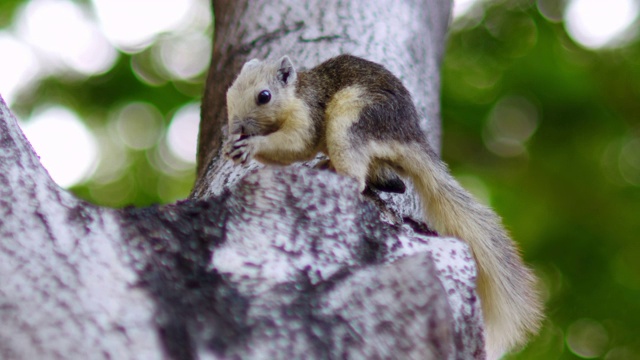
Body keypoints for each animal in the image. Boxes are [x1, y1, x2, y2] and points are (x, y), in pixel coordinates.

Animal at [222, 53, 544, 358]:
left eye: (264, 96)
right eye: (229, 92)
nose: (236, 127)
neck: (296, 93)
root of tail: (409, 136)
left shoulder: (307, 114)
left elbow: (297, 144)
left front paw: (251, 146)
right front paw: (231, 146)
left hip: (351, 121)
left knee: (357, 175)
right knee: (392, 182)